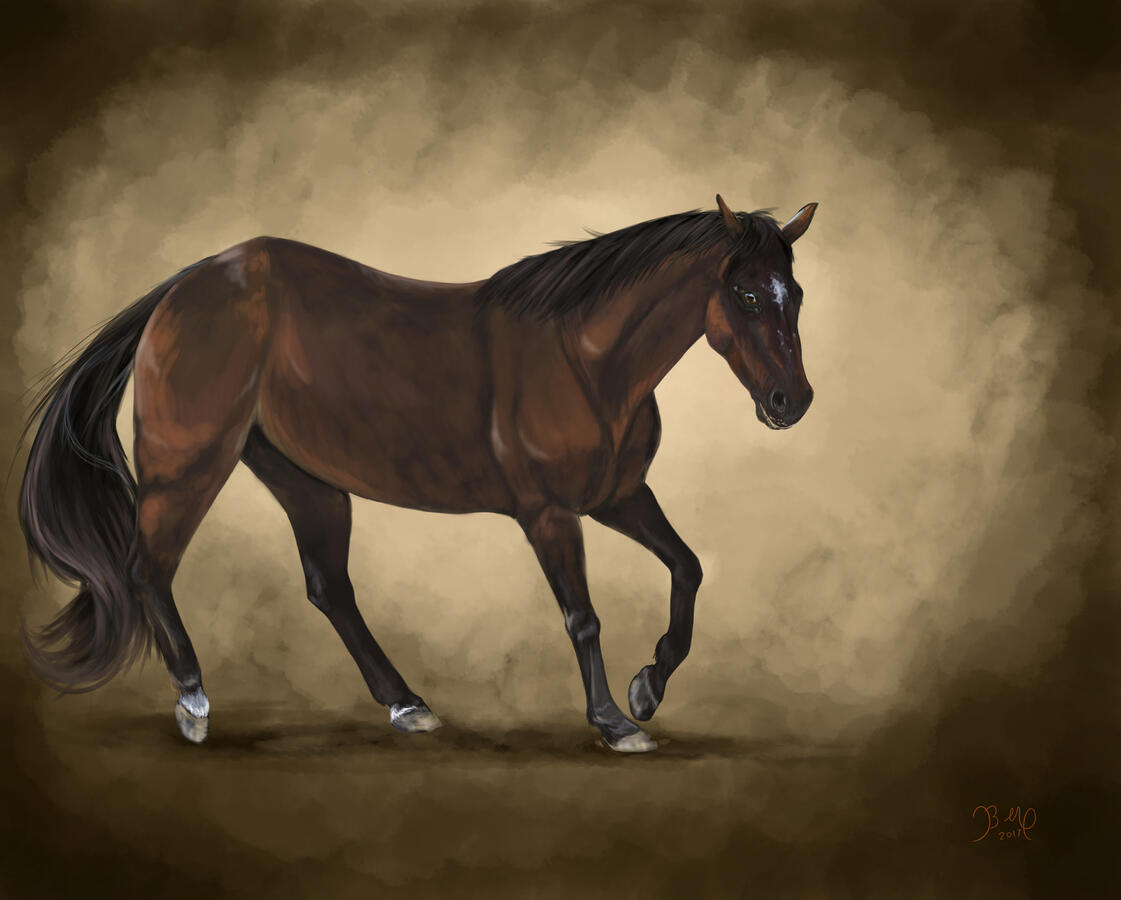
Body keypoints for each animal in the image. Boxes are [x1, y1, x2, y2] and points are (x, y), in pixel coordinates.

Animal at [18, 194, 817, 753]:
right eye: (746, 295)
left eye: (796, 294)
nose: (792, 402)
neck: (583, 359)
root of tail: (183, 287)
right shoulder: (549, 513)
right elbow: (582, 616)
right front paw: (616, 722)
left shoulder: (616, 496)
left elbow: (687, 567)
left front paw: (648, 686)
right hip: (188, 467)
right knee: (148, 568)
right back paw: (192, 700)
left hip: (307, 481)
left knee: (328, 589)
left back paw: (408, 705)